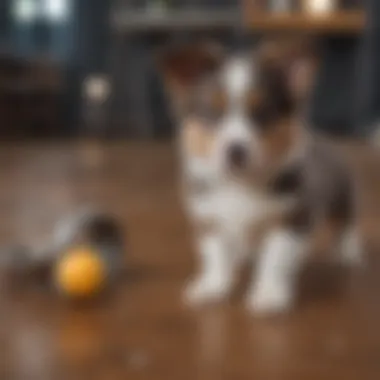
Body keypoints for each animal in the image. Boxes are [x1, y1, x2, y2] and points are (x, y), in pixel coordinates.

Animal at [159, 37, 360, 314]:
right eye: (214, 112)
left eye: (262, 113)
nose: (236, 151)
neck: (241, 183)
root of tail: (324, 137)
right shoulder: (208, 218)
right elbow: (214, 254)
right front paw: (212, 286)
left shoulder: (292, 219)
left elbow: (276, 258)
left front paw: (269, 294)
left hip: (342, 195)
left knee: (345, 223)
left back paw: (349, 252)